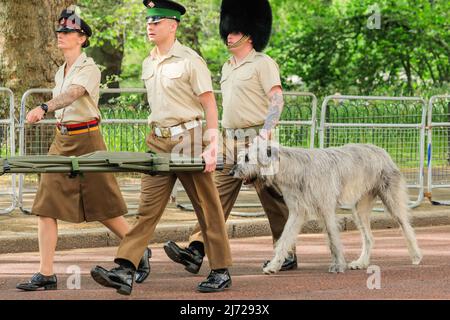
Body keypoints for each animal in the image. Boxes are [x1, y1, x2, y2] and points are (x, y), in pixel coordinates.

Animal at [230, 136, 424, 274]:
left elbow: (333, 239)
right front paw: (274, 265)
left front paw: (338, 266)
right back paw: (361, 262)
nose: (232, 171)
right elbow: (284, 239)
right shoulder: (297, 212)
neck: (292, 168)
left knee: (406, 226)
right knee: (369, 237)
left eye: (246, 158)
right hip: (359, 209)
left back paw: (416, 255)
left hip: (392, 200)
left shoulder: (326, 209)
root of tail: (383, 151)